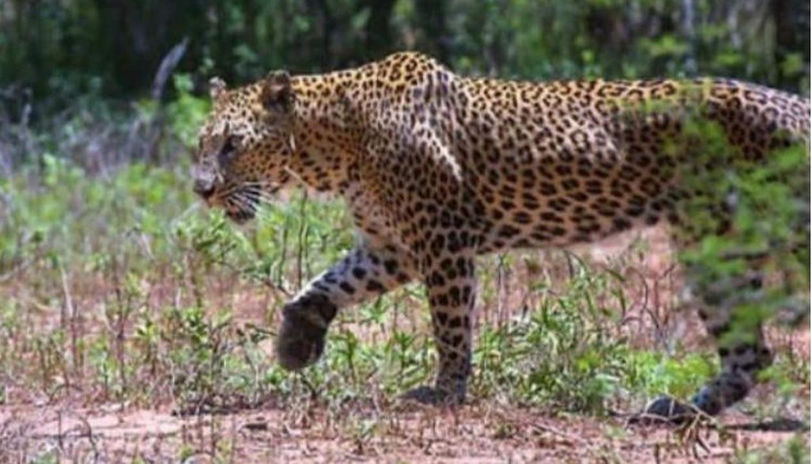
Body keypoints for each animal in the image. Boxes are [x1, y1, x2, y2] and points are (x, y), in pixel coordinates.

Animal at [190, 50, 804, 420]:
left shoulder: (441, 240)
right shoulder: (391, 247)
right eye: (201, 143)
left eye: (232, 145)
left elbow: (450, 327)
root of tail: (796, 105)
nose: (200, 190)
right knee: (750, 352)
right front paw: (296, 341)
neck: (336, 143)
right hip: (714, 246)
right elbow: (327, 283)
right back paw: (677, 410)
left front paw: (445, 392)